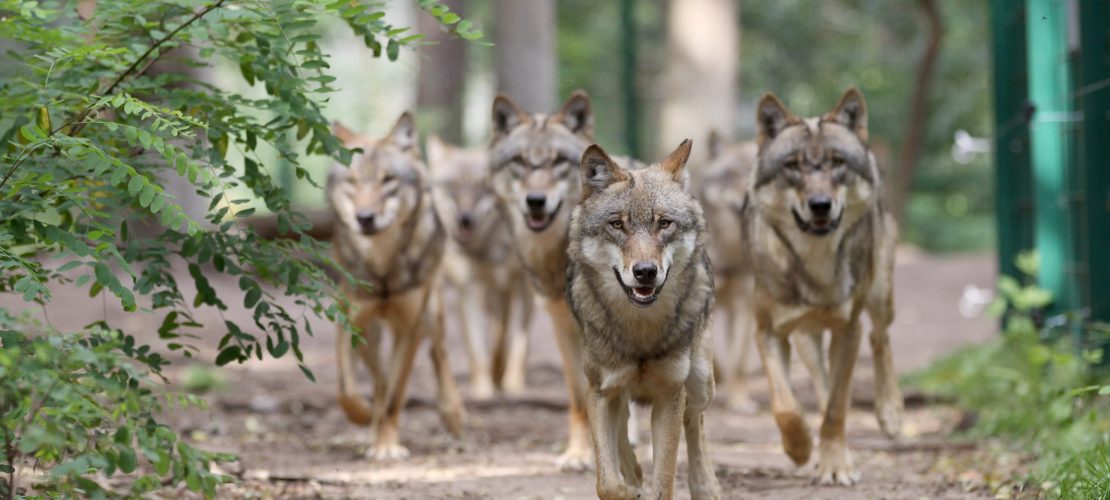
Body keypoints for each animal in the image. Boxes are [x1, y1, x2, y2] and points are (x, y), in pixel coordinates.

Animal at [327, 113, 466, 461]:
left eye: (387, 180)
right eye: (352, 181)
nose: (364, 218)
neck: (383, 269)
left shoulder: (409, 329)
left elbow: (394, 394)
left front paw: (387, 446)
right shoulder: (352, 321)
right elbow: (350, 389)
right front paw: (366, 420)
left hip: (432, 311)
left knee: (439, 352)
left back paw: (452, 412)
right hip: (374, 331)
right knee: (378, 377)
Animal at [427, 136, 534, 399]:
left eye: (480, 187)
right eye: (453, 186)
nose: (465, 219)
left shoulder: (518, 284)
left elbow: (514, 340)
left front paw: (509, 382)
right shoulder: (469, 287)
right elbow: (477, 348)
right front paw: (483, 389)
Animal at [567, 139, 721, 500]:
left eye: (664, 223)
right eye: (617, 224)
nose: (645, 272)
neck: (640, 331)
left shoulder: (670, 394)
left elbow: (664, 478)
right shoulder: (600, 390)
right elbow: (606, 482)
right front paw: (629, 488)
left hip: (700, 381)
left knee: (696, 422)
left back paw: (706, 486)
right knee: (623, 424)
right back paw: (633, 475)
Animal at [742, 88, 904, 485]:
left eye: (836, 163)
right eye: (793, 166)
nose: (820, 205)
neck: (815, 266)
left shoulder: (848, 329)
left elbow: (835, 410)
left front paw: (835, 467)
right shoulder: (768, 332)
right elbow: (785, 406)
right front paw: (799, 448)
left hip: (879, 296)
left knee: (879, 338)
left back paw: (890, 413)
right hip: (805, 338)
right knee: (822, 382)